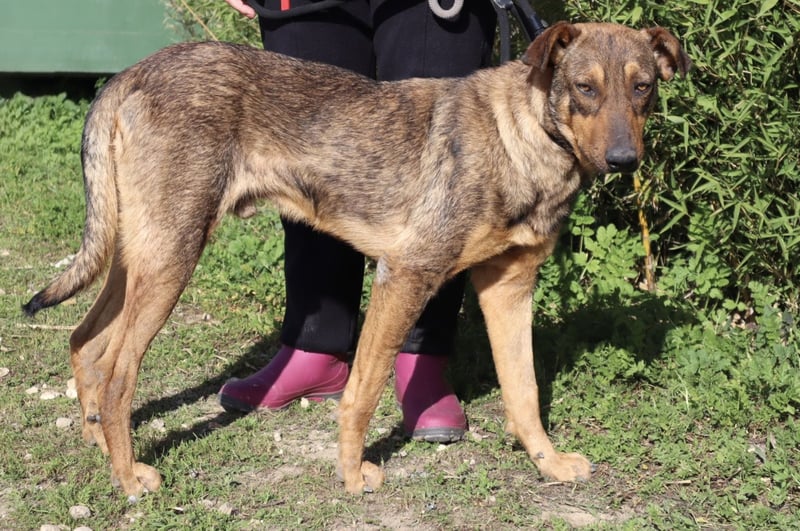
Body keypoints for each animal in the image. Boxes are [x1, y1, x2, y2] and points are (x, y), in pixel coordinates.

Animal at [23, 22, 690, 498]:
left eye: (642, 88)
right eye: (584, 88)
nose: (625, 161)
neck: (519, 136)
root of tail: (128, 74)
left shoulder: (508, 289)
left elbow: (523, 394)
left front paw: (547, 464)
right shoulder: (407, 276)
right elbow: (363, 391)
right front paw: (351, 477)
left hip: (138, 256)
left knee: (85, 343)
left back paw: (103, 453)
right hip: (171, 257)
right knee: (118, 372)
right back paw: (130, 479)